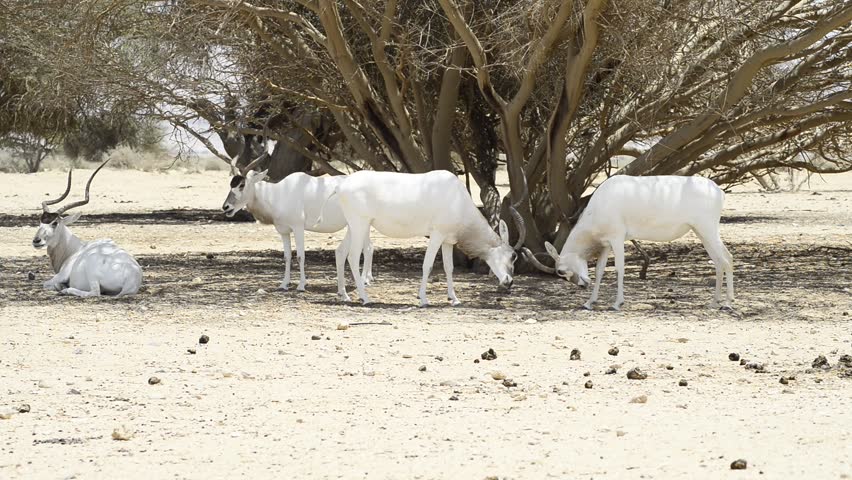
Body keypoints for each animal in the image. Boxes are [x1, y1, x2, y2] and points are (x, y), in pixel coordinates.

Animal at [33, 160, 143, 297]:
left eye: (55, 223)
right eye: (40, 221)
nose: (36, 241)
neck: (75, 249)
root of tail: (131, 277)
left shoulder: (61, 275)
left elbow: (46, 284)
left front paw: (60, 287)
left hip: (92, 272)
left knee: (95, 292)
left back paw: (66, 290)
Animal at [221, 154, 374, 297]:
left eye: (241, 185)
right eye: (231, 185)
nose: (226, 207)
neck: (279, 194)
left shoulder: (298, 227)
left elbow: (300, 256)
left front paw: (301, 285)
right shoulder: (284, 231)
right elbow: (287, 256)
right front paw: (284, 284)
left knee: (367, 248)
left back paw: (364, 280)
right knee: (369, 247)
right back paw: (365, 279)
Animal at [320, 170, 526, 306]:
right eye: (513, 256)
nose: (509, 282)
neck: (457, 198)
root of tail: (341, 186)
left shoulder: (447, 240)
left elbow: (449, 268)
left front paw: (454, 299)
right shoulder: (437, 235)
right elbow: (428, 265)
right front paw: (423, 299)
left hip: (354, 226)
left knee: (340, 252)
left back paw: (344, 295)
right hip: (360, 224)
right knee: (353, 256)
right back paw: (365, 298)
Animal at [524, 175, 734, 310]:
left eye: (560, 271)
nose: (582, 284)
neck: (601, 202)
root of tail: (719, 191)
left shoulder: (617, 237)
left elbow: (619, 268)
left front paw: (617, 303)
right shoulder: (606, 244)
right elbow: (599, 271)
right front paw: (589, 303)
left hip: (707, 229)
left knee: (726, 259)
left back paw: (727, 303)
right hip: (701, 232)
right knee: (719, 261)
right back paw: (715, 302)